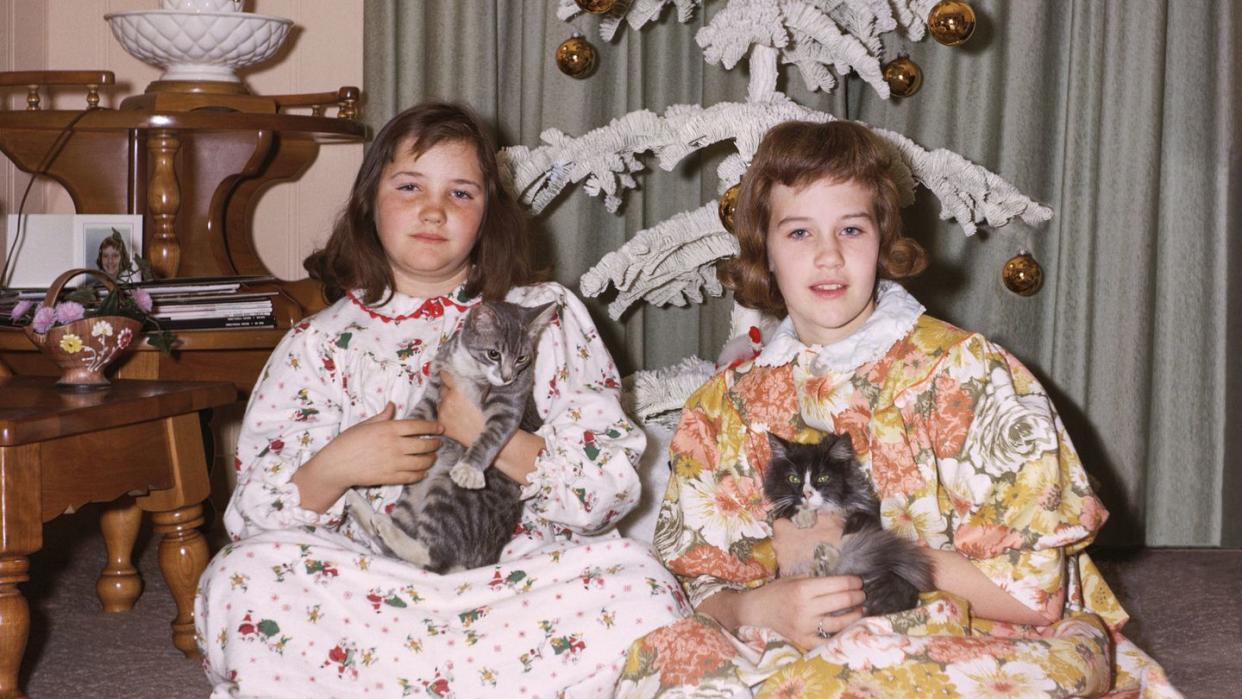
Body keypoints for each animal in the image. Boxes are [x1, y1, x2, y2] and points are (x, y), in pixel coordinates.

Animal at [340, 300, 553, 573]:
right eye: (494, 353)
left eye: (522, 358)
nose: (507, 377)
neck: (471, 369)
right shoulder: (437, 381)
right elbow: (421, 411)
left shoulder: (511, 402)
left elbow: (493, 434)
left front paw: (469, 469)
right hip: (415, 491)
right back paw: (362, 507)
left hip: (452, 497)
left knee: (436, 557)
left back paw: (386, 526)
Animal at [760, 432, 933, 618]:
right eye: (793, 478)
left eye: (823, 478)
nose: (806, 494)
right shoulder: (778, 510)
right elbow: (786, 506)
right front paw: (804, 517)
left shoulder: (867, 509)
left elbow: (857, 527)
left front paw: (846, 542)